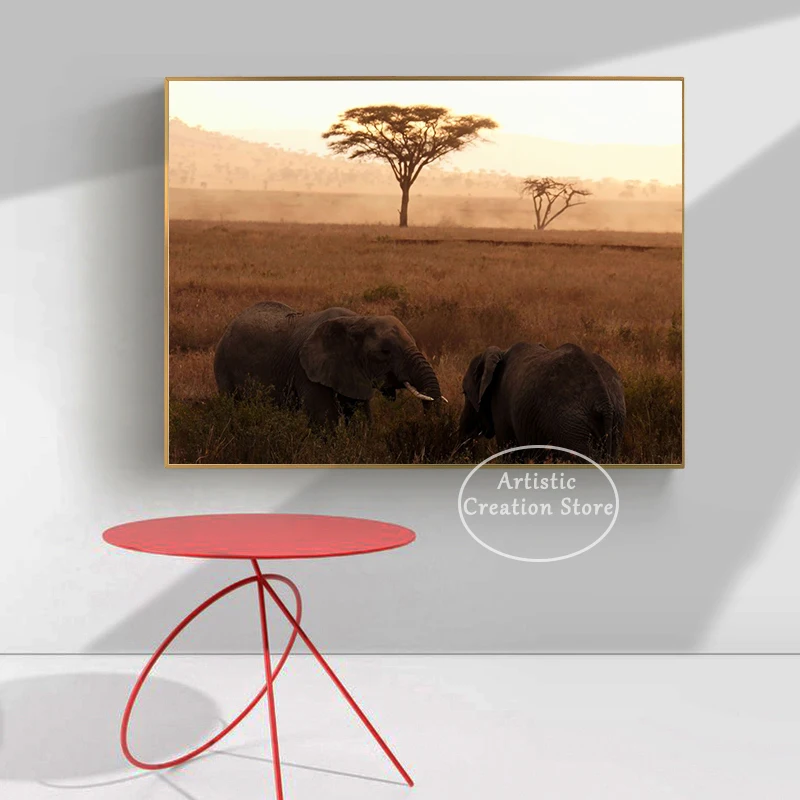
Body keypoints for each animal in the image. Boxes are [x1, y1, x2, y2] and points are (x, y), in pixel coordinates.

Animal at [214, 301, 444, 426]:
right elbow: (324, 419)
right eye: (385, 352)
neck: (358, 320)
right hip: (223, 365)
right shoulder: (306, 371)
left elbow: (361, 415)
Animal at [459, 341, 626, 462]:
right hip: (616, 419)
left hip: (570, 425)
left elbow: (510, 453)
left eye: (465, 393)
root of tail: (603, 399)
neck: (500, 351)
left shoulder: (501, 405)